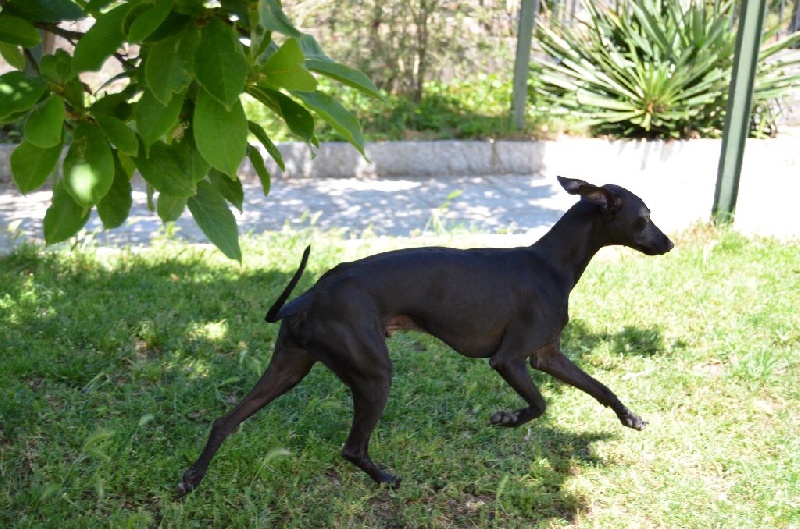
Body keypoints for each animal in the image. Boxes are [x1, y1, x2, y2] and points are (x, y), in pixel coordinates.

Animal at [178, 175, 672, 492]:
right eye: (645, 216)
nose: (670, 244)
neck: (551, 263)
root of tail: (312, 295)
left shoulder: (547, 355)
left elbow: (600, 387)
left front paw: (630, 418)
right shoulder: (510, 359)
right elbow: (539, 404)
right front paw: (506, 418)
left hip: (289, 367)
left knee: (225, 421)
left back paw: (192, 478)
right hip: (374, 374)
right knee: (351, 448)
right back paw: (386, 479)